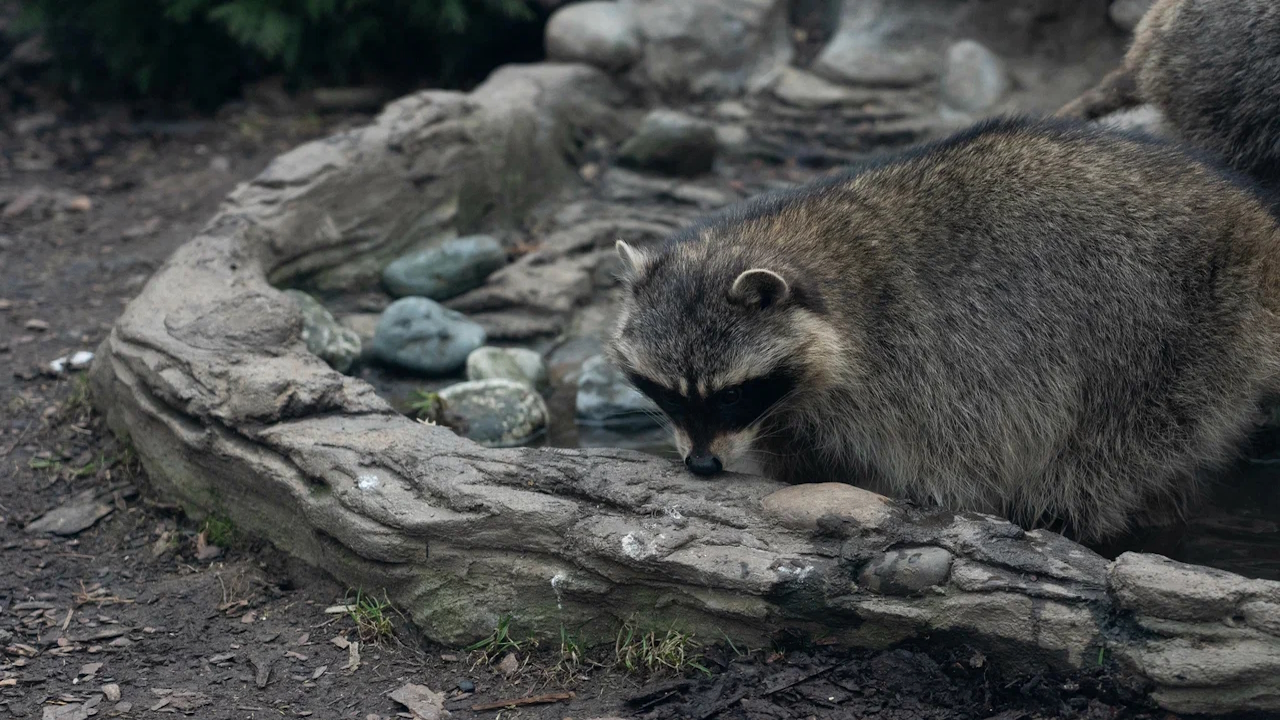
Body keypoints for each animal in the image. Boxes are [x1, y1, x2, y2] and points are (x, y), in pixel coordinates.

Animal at [604, 114, 1280, 540]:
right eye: (666, 393)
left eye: (732, 394)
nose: (702, 467)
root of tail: (1256, 224)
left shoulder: (930, 357)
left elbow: (954, 460)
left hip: (1173, 332)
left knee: (1117, 446)